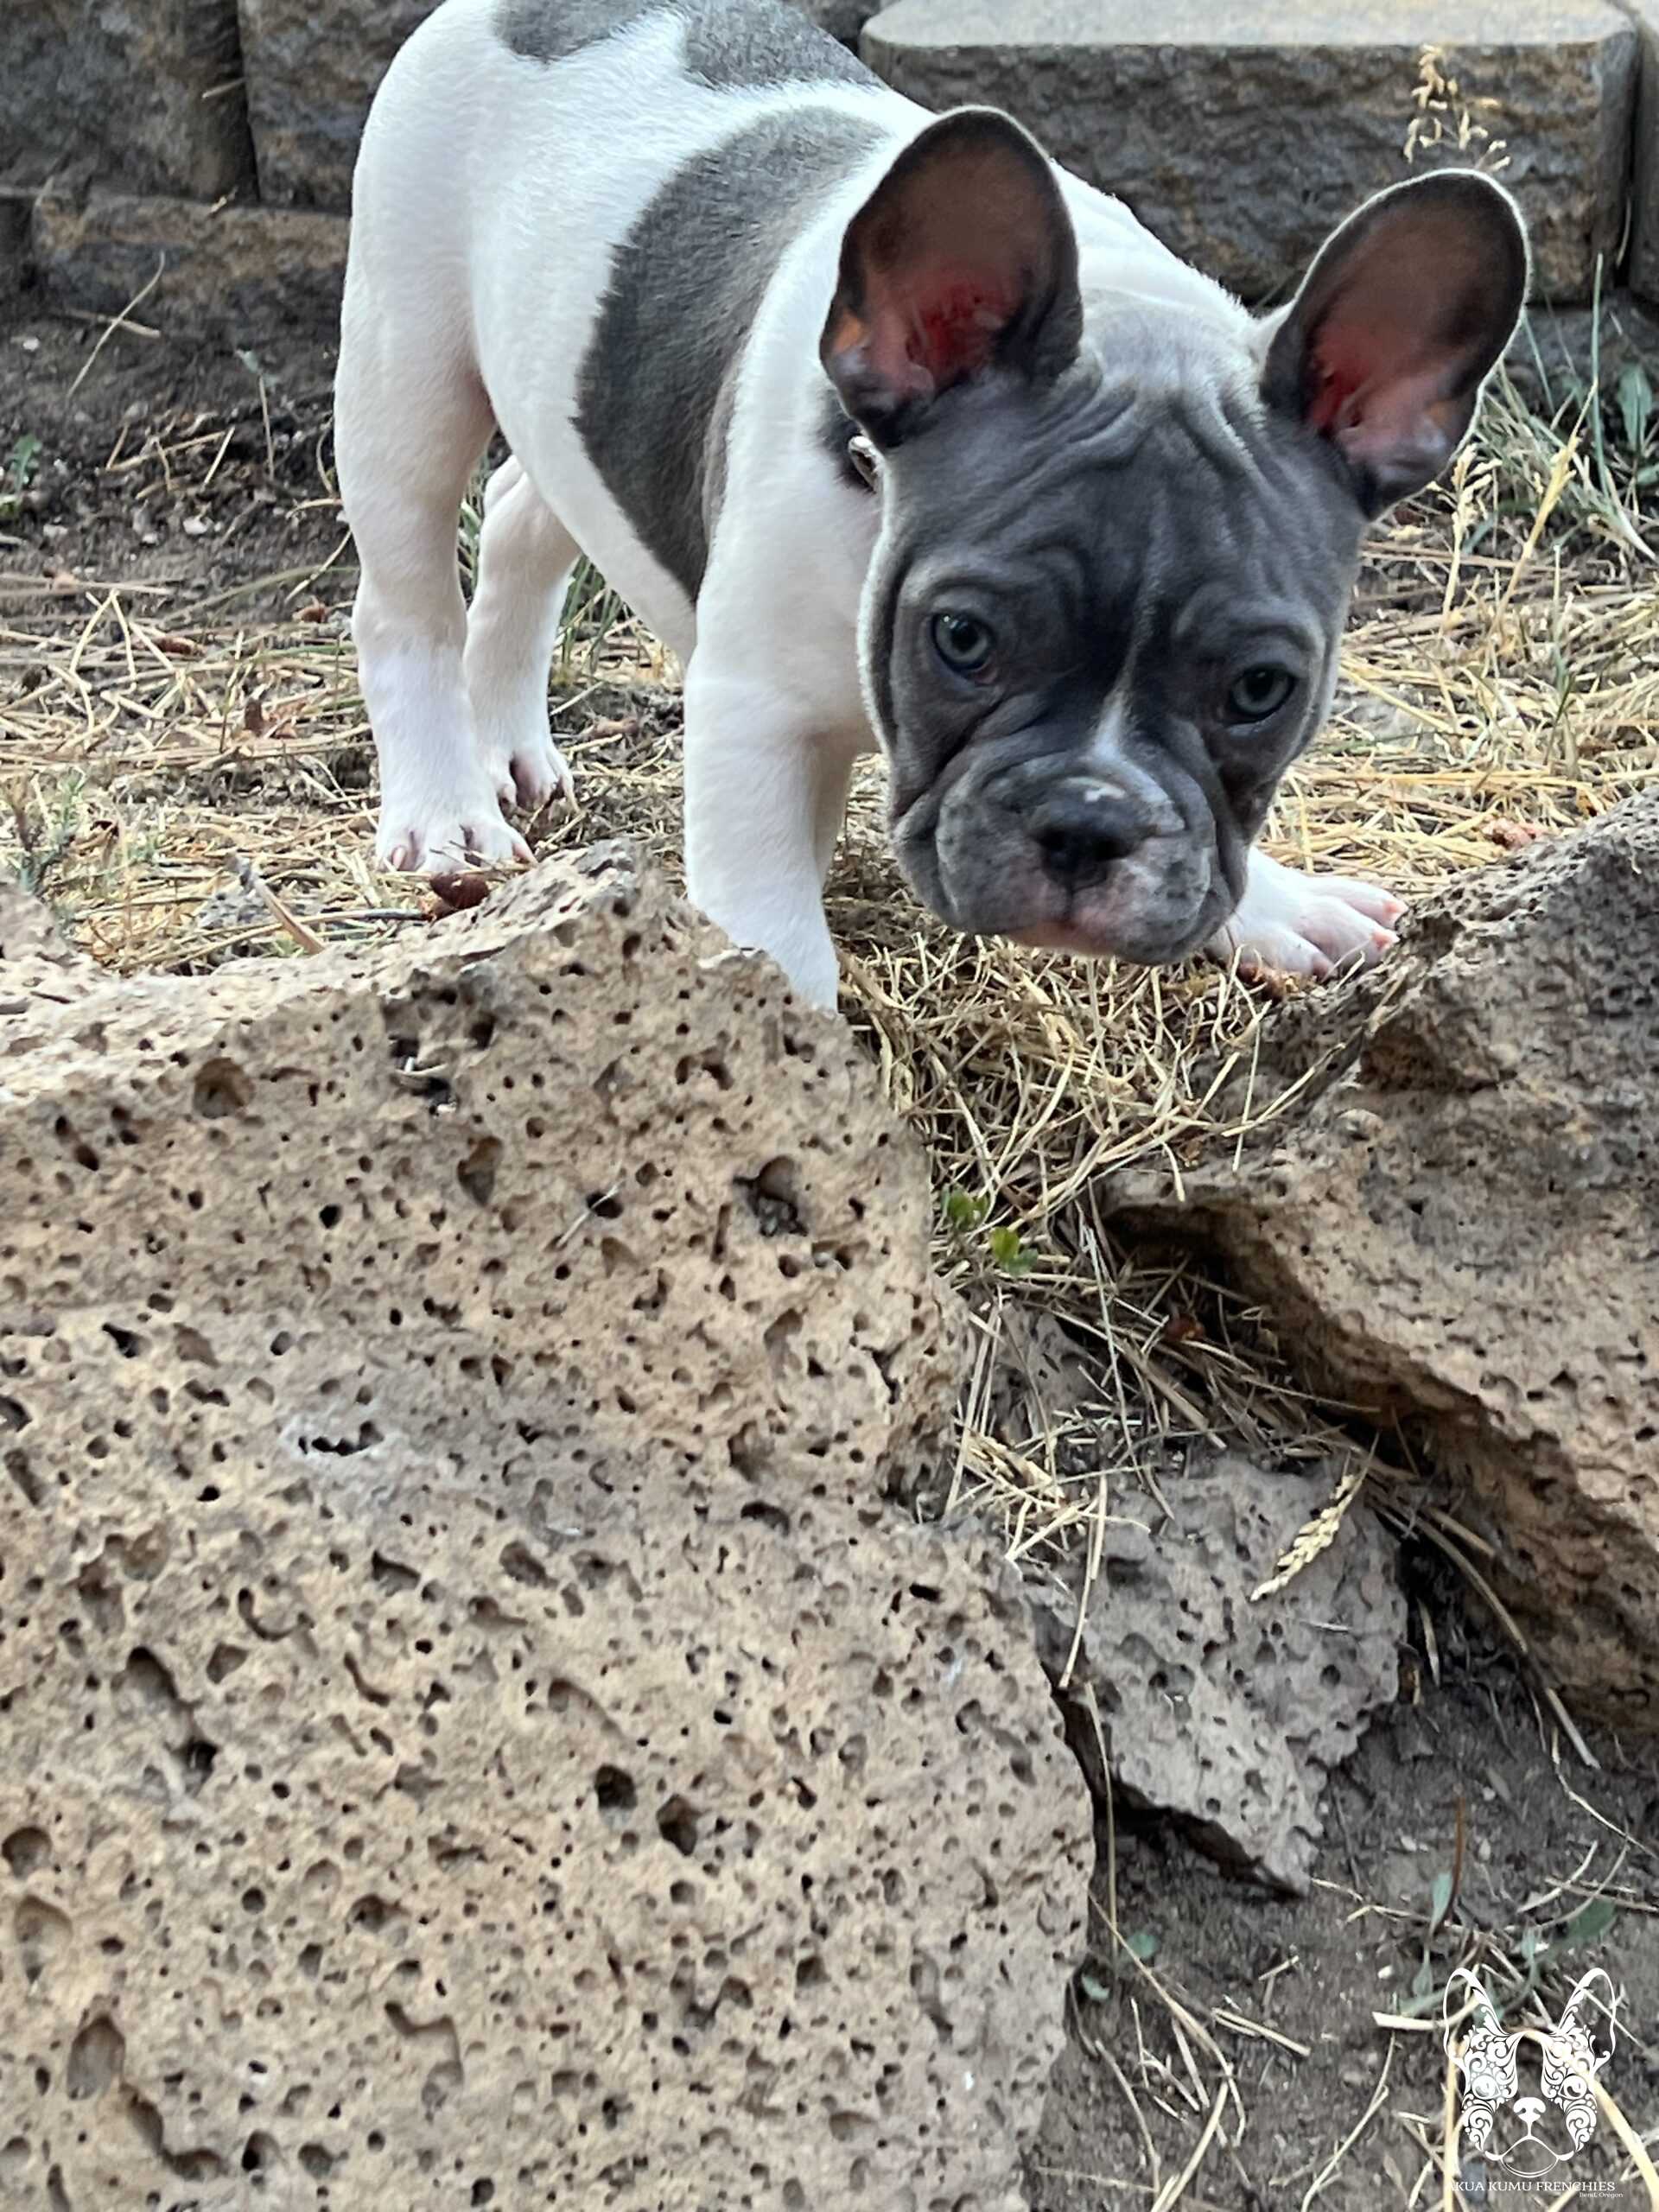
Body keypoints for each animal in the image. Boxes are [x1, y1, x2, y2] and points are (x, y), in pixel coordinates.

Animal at [338, 0, 1530, 1013]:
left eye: (1260, 690)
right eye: (963, 638)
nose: (1089, 821)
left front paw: (1281, 902)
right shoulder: (758, 722)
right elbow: (779, 936)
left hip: (564, 399)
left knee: (522, 507)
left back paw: (507, 741)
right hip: (406, 367)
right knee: (406, 598)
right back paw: (445, 809)